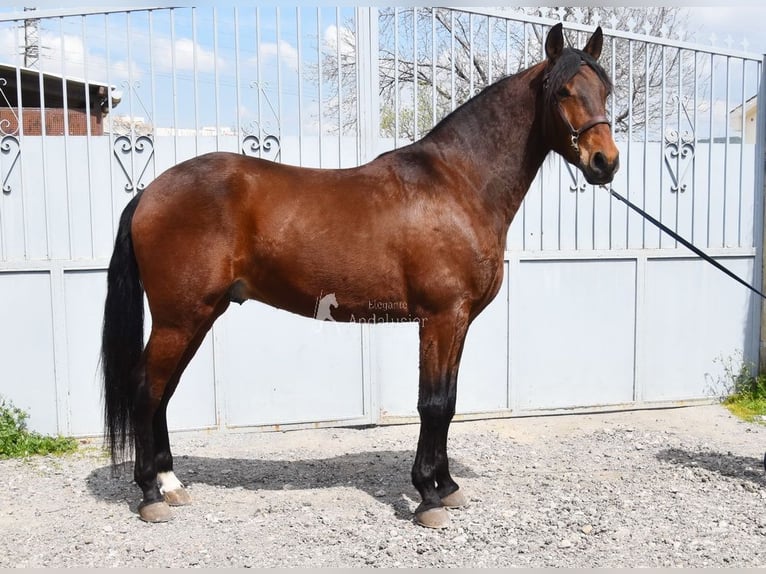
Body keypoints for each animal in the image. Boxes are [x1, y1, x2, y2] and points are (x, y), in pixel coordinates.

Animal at [101, 23, 618, 528]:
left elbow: (448, 401)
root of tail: (150, 192)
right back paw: (150, 493)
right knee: (146, 388)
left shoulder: (459, 321)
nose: (605, 162)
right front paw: (428, 496)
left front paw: (448, 486)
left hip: (199, 315)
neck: (459, 184)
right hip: (179, 318)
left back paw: (170, 482)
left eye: (605, 90)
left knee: (164, 391)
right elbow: (433, 403)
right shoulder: (440, 317)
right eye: (563, 91)